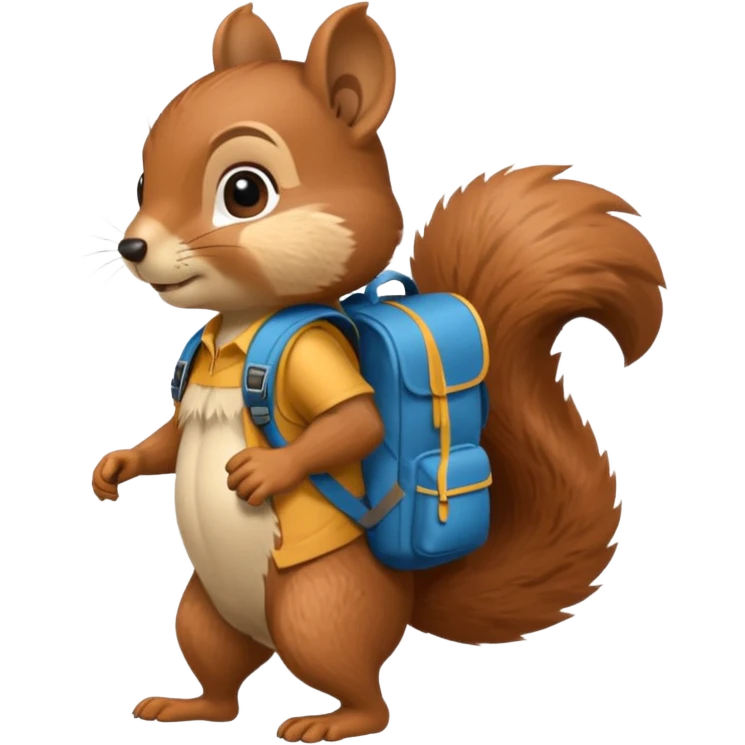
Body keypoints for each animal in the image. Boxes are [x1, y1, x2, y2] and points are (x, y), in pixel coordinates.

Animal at [90, 2, 666, 741]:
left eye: (244, 191)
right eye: (142, 180)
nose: (134, 245)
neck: (240, 328)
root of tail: (404, 594)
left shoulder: (315, 355)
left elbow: (353, 422)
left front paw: (267, 470)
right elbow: (165, 441)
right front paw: (116, 466)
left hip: (319, 606)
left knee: (362, 688)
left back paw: (332, 722)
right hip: (202, 613)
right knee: (221, 676)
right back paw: (190, 706)